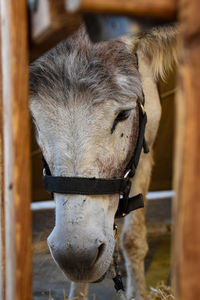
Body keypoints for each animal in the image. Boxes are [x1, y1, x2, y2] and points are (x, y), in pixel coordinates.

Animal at [29, 26, 177, 300]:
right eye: (33, 118)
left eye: (124, 114)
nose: (77, 257)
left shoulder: (145, 149)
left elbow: (132, 241)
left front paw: (137, 293)